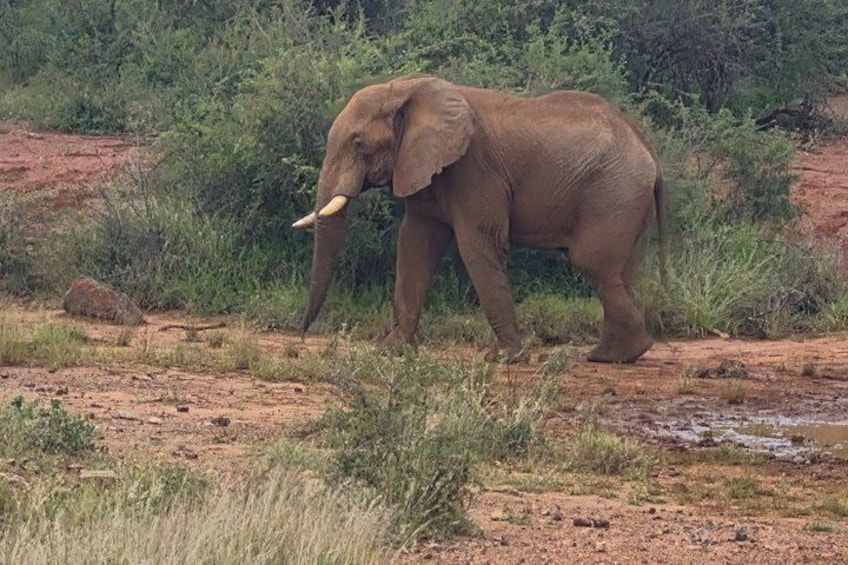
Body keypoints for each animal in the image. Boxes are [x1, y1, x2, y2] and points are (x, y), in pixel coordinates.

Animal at [292, 74, 663, 363]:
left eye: (357, 142)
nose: (301, 337)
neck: (408, 88)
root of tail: (648, 149)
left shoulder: (476, 169)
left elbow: (477, 245)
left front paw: (505, 358)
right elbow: (414, 246)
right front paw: (391, 350)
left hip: (613, 192)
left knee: (592, 263)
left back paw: (625, 351)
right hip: (623, 197)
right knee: (619, 271)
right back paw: (613, 355)